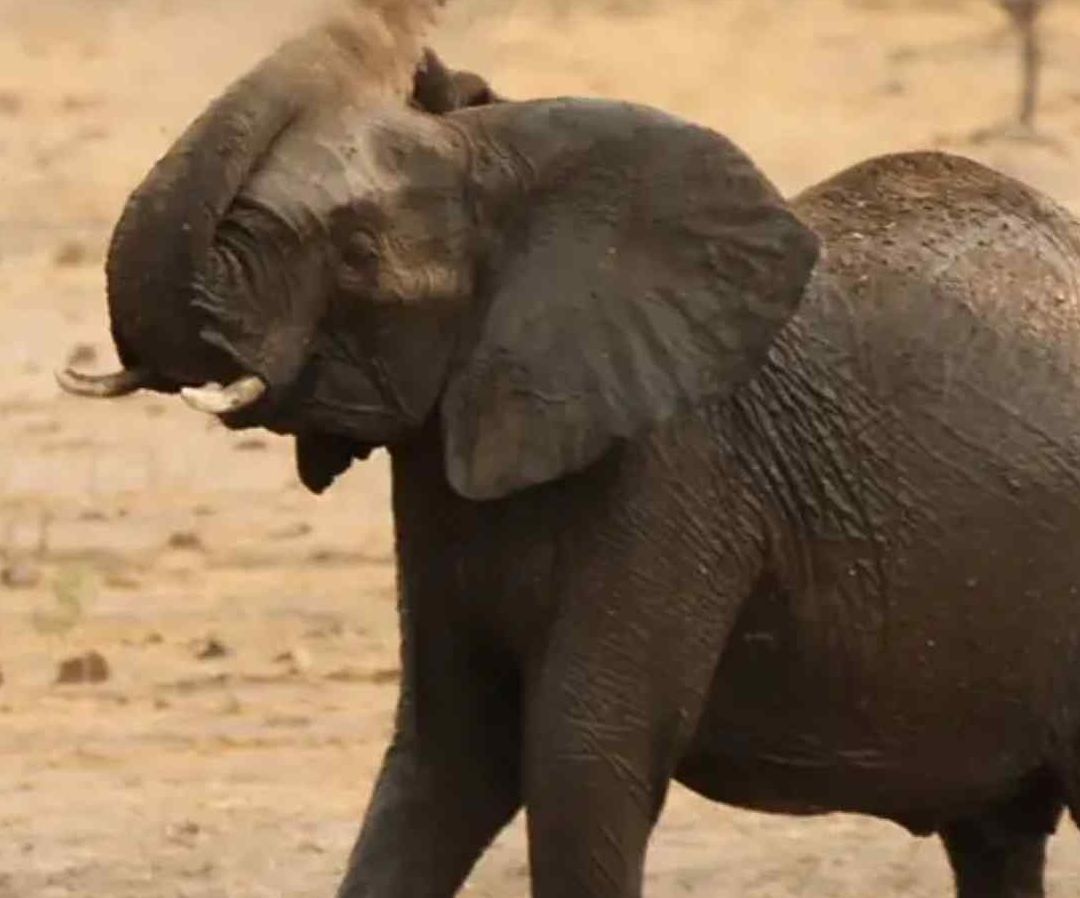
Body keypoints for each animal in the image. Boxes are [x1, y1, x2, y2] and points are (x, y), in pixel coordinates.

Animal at [56, 11, 1080, 898]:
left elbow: (580, 756)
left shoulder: (676, 469)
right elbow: (447, 758)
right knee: (996, 838)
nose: (414, 44)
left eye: (355, 255)